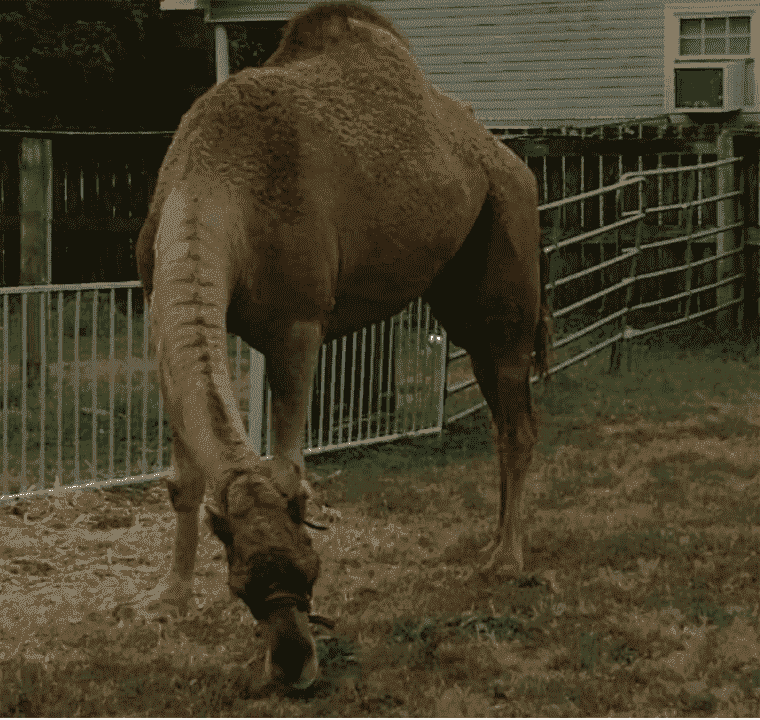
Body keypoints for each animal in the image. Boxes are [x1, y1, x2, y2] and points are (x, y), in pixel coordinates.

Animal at [132, 2, 552, 688]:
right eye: (243, 587)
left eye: (310, 571)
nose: (293, 669)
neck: (218, 177)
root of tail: (510, 160)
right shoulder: (161, 308)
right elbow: (185, 477)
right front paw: (169, 599)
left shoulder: (298, 322)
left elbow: (288, 463)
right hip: (460, 288)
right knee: (499, 411)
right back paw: (491, 542)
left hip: (507, 245)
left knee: (517, 417)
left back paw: (507, 559)